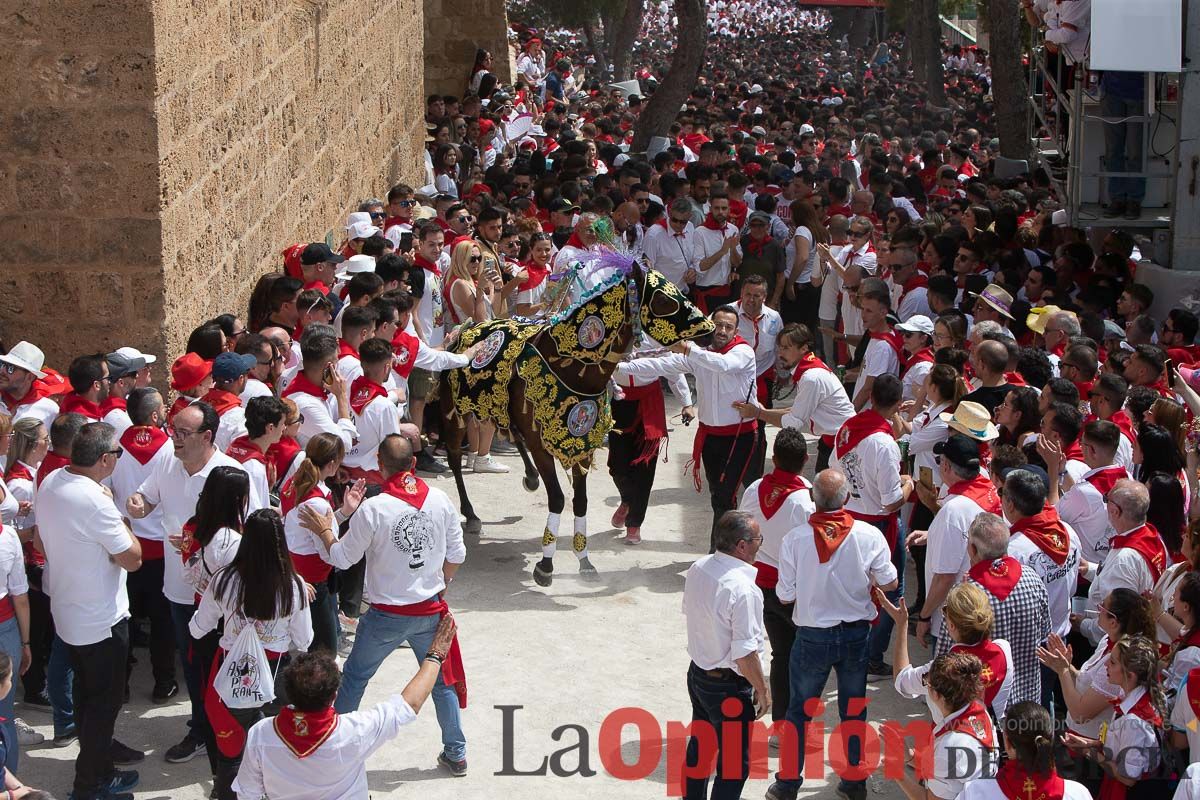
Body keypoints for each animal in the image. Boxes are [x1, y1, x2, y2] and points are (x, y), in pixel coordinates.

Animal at [439, 253, 710, 585]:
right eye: (663, 299)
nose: (711, 330)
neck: (566, 365)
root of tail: (464, 329)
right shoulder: (544, 446)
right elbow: (557, 498)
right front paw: (545, 565)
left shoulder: (583, 446)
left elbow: (580, 502)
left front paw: (584, 560)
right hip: (455, 414)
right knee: (454, 458)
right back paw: (471, 513)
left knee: (512, 431)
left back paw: (529, 478)